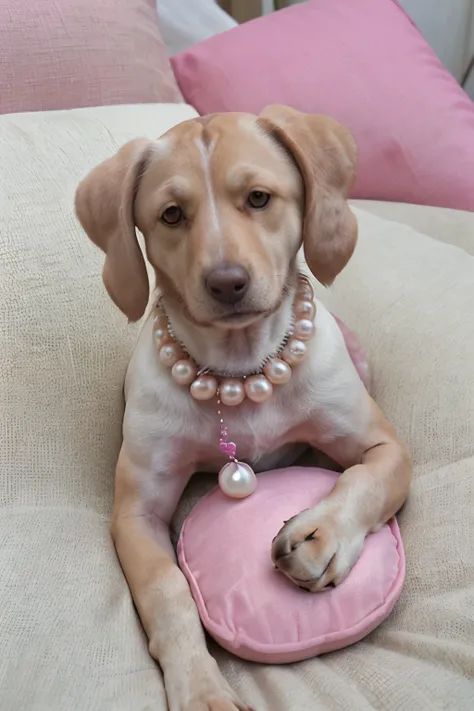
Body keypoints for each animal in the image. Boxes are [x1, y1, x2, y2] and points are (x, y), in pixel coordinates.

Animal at [76, 105, 412, 711]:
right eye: (171, 215)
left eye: (259, 198)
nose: (227, 282)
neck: (242, 372)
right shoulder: (137, 514)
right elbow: (168, 591)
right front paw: (200, 686)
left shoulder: (386, 446)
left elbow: (364, 479)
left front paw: (321, 534)